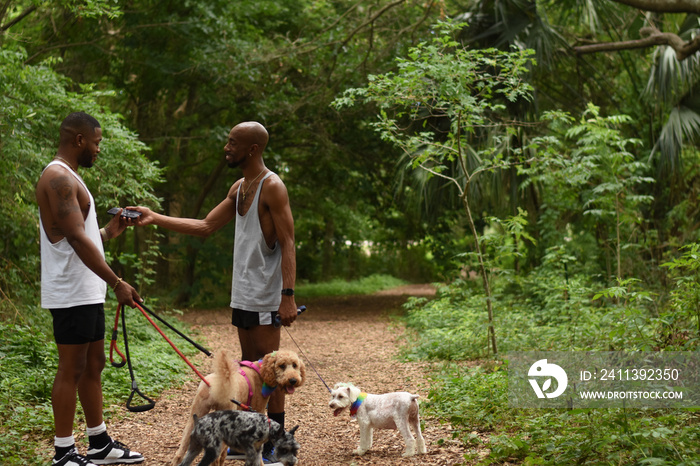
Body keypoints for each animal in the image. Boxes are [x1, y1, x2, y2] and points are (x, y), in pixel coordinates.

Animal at [171, 350, 304, 466]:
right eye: (282, 366)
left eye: (295, 365)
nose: (293, 380)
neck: (261, 370)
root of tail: (217, 384)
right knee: (216, 459)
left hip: (195, 417)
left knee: (180, 452)